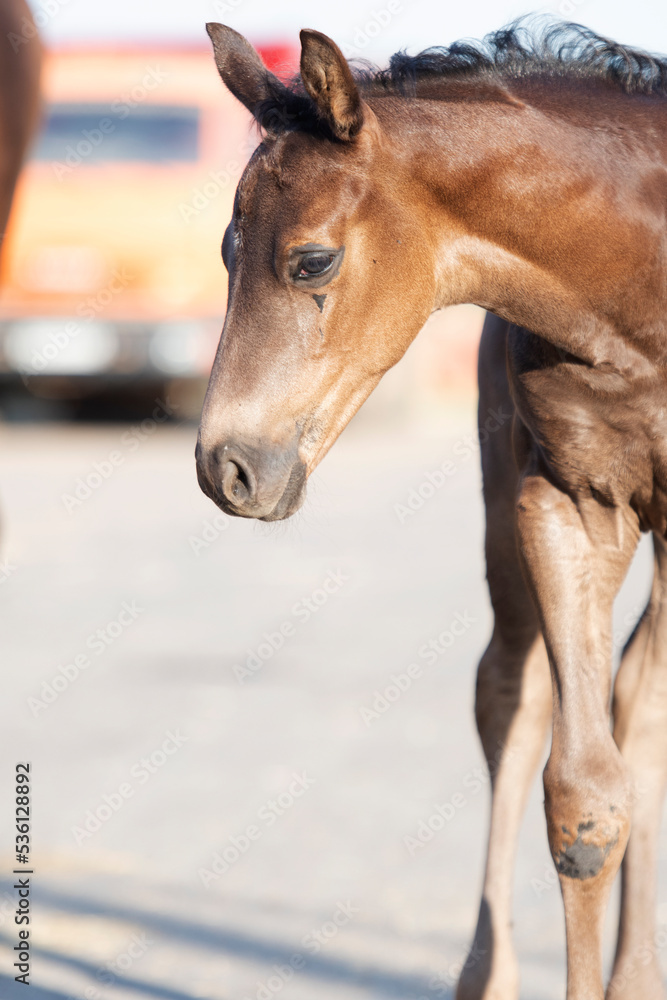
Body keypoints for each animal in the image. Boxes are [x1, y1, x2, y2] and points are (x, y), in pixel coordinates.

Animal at [195, 18, 667, 1000]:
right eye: (224, 251)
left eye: (312, 259)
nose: (224, 466)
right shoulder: (567, 503)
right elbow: (582, 802)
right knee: (512, 700)